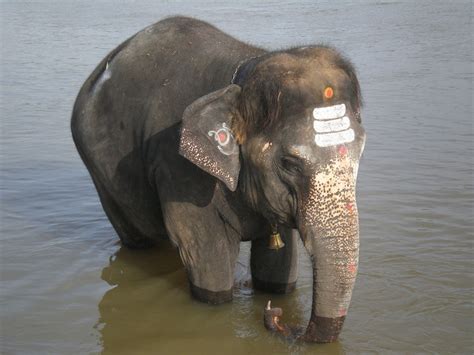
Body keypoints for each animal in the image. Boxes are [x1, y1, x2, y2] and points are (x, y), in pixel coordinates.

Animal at [70, 15, 366, 344]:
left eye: (360, 153)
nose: (275, 315)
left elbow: (279, 259)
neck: (244, 74)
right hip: (98, 171)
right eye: (289, 164)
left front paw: (273, 292)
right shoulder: (179, 168)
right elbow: (205, 252)